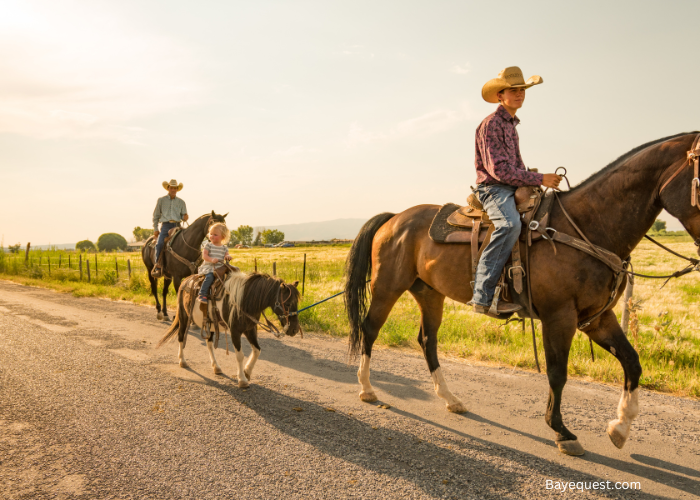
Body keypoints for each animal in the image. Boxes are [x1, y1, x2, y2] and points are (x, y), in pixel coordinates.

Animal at [159, 272, 300, 384]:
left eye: (297, 303)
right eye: (288, 304)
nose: (294, 330)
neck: (244, 300)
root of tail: (186, 281)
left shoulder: (250, 329)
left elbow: (257, 350)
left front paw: (247, 371)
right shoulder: (235, 331)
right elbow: (240, 355)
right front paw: (242, 379)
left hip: (210, 325)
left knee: (209, 344)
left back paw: (216, 367)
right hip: (184, 318)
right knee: (181, 337)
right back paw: (182, 361)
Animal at [344, 131, 700, 456]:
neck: (587, 225)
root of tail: (395, 218)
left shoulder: (597, 318)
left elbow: (632, 362)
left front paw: (620, 427)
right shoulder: (559, 317)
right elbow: (557, 373)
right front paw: (562, 432)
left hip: (430, 294)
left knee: (427, 341)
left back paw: (450, 399)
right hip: (387, 286)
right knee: (370, 329)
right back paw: (367, 389)